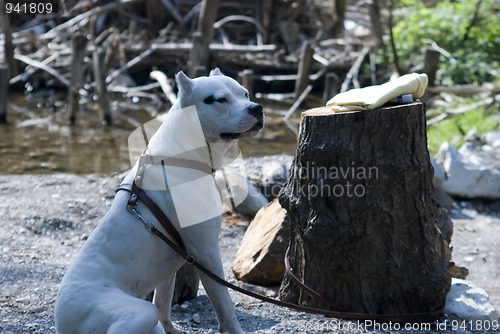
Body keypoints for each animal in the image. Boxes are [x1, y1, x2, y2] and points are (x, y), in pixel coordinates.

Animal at [54, 68, 264, 334]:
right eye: (219, 99)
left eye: (245, 93)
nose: (256, 107)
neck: (181, 156)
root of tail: (61, 319)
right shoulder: (206, 253)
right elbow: (225, 306)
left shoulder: (174, 263)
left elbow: (163, 301)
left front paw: (171, 329)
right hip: (135, 311)